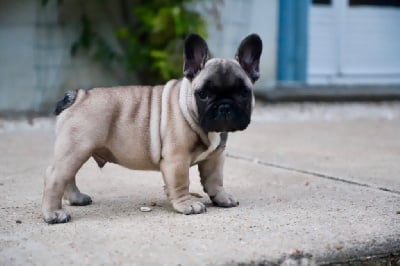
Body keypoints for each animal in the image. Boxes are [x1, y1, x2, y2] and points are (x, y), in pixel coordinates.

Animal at [42, 33, 262, 224]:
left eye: (243, 93)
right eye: (203, 94)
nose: (225, 106)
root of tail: (77, 95)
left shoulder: (215, 157)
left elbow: (215, 179)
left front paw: (222, 198)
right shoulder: (177, 160)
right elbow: (182, 183)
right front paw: (187, 205)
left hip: (77, 150)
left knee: (68, 176)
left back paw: (76, 199)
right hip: (76, 148)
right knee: (55, 177)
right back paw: (54, 214)